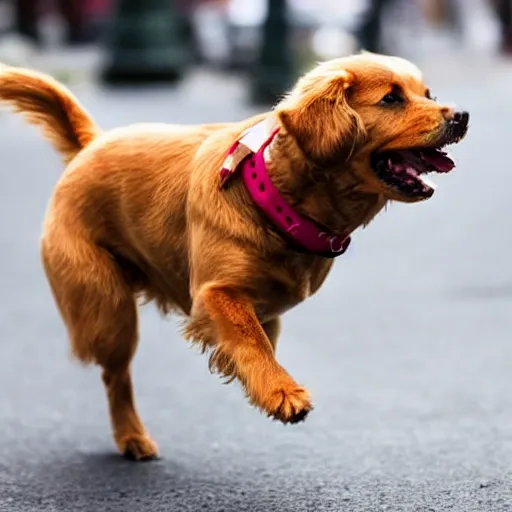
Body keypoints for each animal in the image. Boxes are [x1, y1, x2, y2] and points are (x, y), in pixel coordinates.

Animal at [0, 52, 468, 460]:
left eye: (428, 93)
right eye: (391, 98)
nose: (461, 115)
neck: (274, 196)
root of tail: (90, 146)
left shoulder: (263, 309)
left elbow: (255, 339)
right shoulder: (214, 293)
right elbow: (250, 339)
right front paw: (282, 392)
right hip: (108, 310)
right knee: (115, 374)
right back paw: (131, 435)